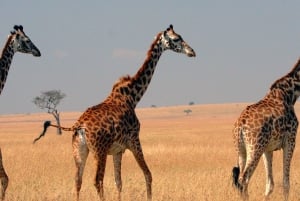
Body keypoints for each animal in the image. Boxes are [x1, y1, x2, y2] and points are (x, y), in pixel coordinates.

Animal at [33, 25, 197, 201]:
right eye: (176, 39)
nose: (192, 51)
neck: (132, 97)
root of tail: (79, 126)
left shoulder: (118, 150)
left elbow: (119, 181)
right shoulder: (134, 140)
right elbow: (148, 175)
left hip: (79, 150)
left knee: (78, 180)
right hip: (99, 150)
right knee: (97, 180)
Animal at [232, 59, 300, 200]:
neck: (291, 93)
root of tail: (240, 125)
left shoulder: (268, 148)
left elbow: (270, 184)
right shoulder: (291, 140)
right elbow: (286, 183)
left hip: (241, 149)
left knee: (239, 178)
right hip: (255, 148)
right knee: (244, 178)